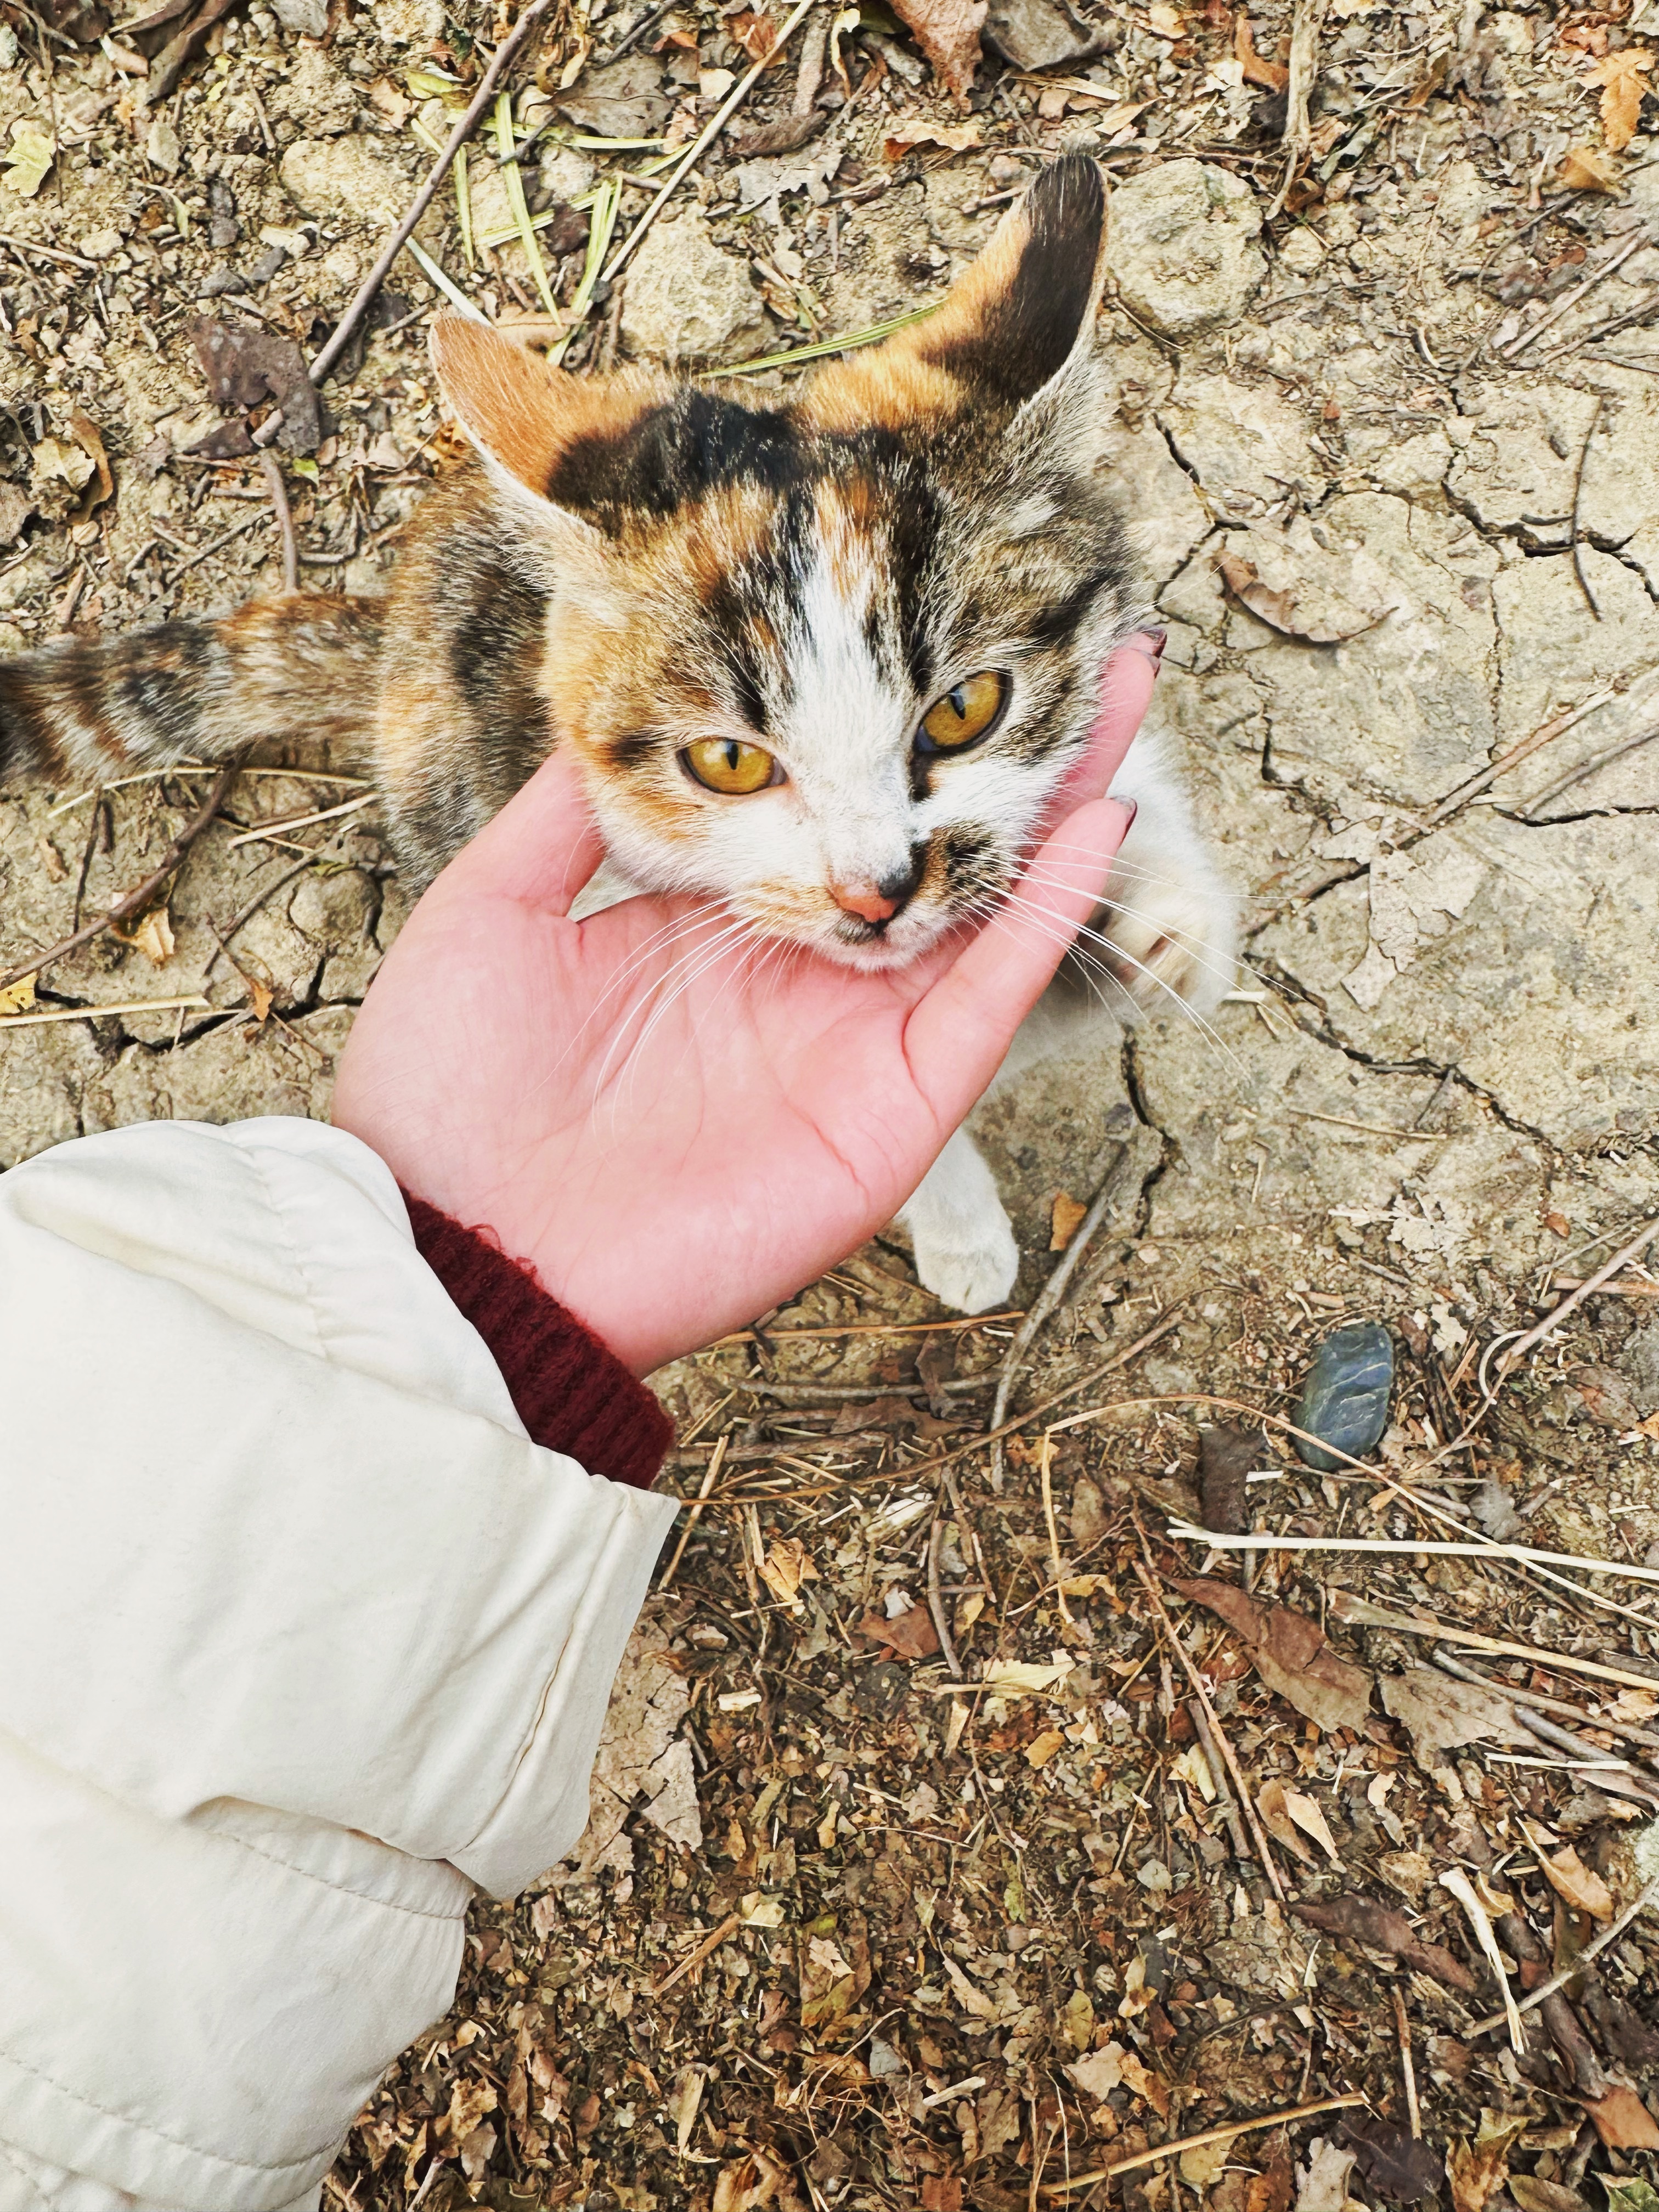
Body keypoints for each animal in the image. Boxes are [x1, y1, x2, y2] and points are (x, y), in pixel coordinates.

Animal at [0, 163, 1238, 1318]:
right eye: (729, 762)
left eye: (965, 709)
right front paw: (962, 1227)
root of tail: (397, 633)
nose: (876, 891)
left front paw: (1151, 926)